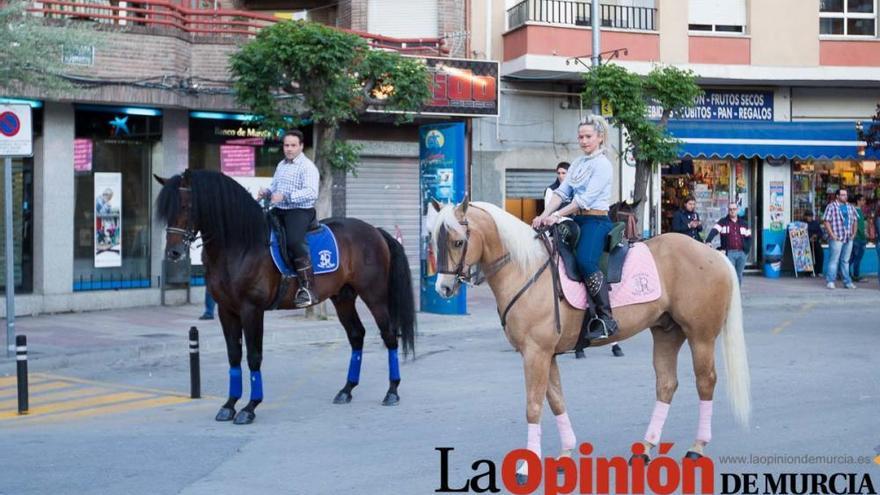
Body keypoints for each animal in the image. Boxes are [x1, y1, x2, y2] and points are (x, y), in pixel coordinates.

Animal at [156, 171, 416, 426]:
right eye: (166, 210)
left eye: (186, 206)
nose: (173, 253)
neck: (240, 245)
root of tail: (375, 230)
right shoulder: (226, 310)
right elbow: (234, 356)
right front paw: (229, 405)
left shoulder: (251, 309)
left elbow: (253, 356)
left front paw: (250, 407)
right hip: (342, 297)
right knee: (356, 335)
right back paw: (347, 390)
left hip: (375, 296)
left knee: (389, 335)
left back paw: (392, 391)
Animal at [430, 198, 744, 468]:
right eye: (434, 239)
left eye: (458, 241)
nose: (443, 288)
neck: (526, 269)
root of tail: (713, 254)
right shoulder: (546, 354)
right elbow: (556, 400)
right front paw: (566, 452)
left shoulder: (536, 353)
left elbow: (534, 406)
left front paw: (525, 466)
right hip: (667, 332)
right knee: (666, 385)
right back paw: (644, 448)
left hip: (700, 336)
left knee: (705, 382)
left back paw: (696, 447)